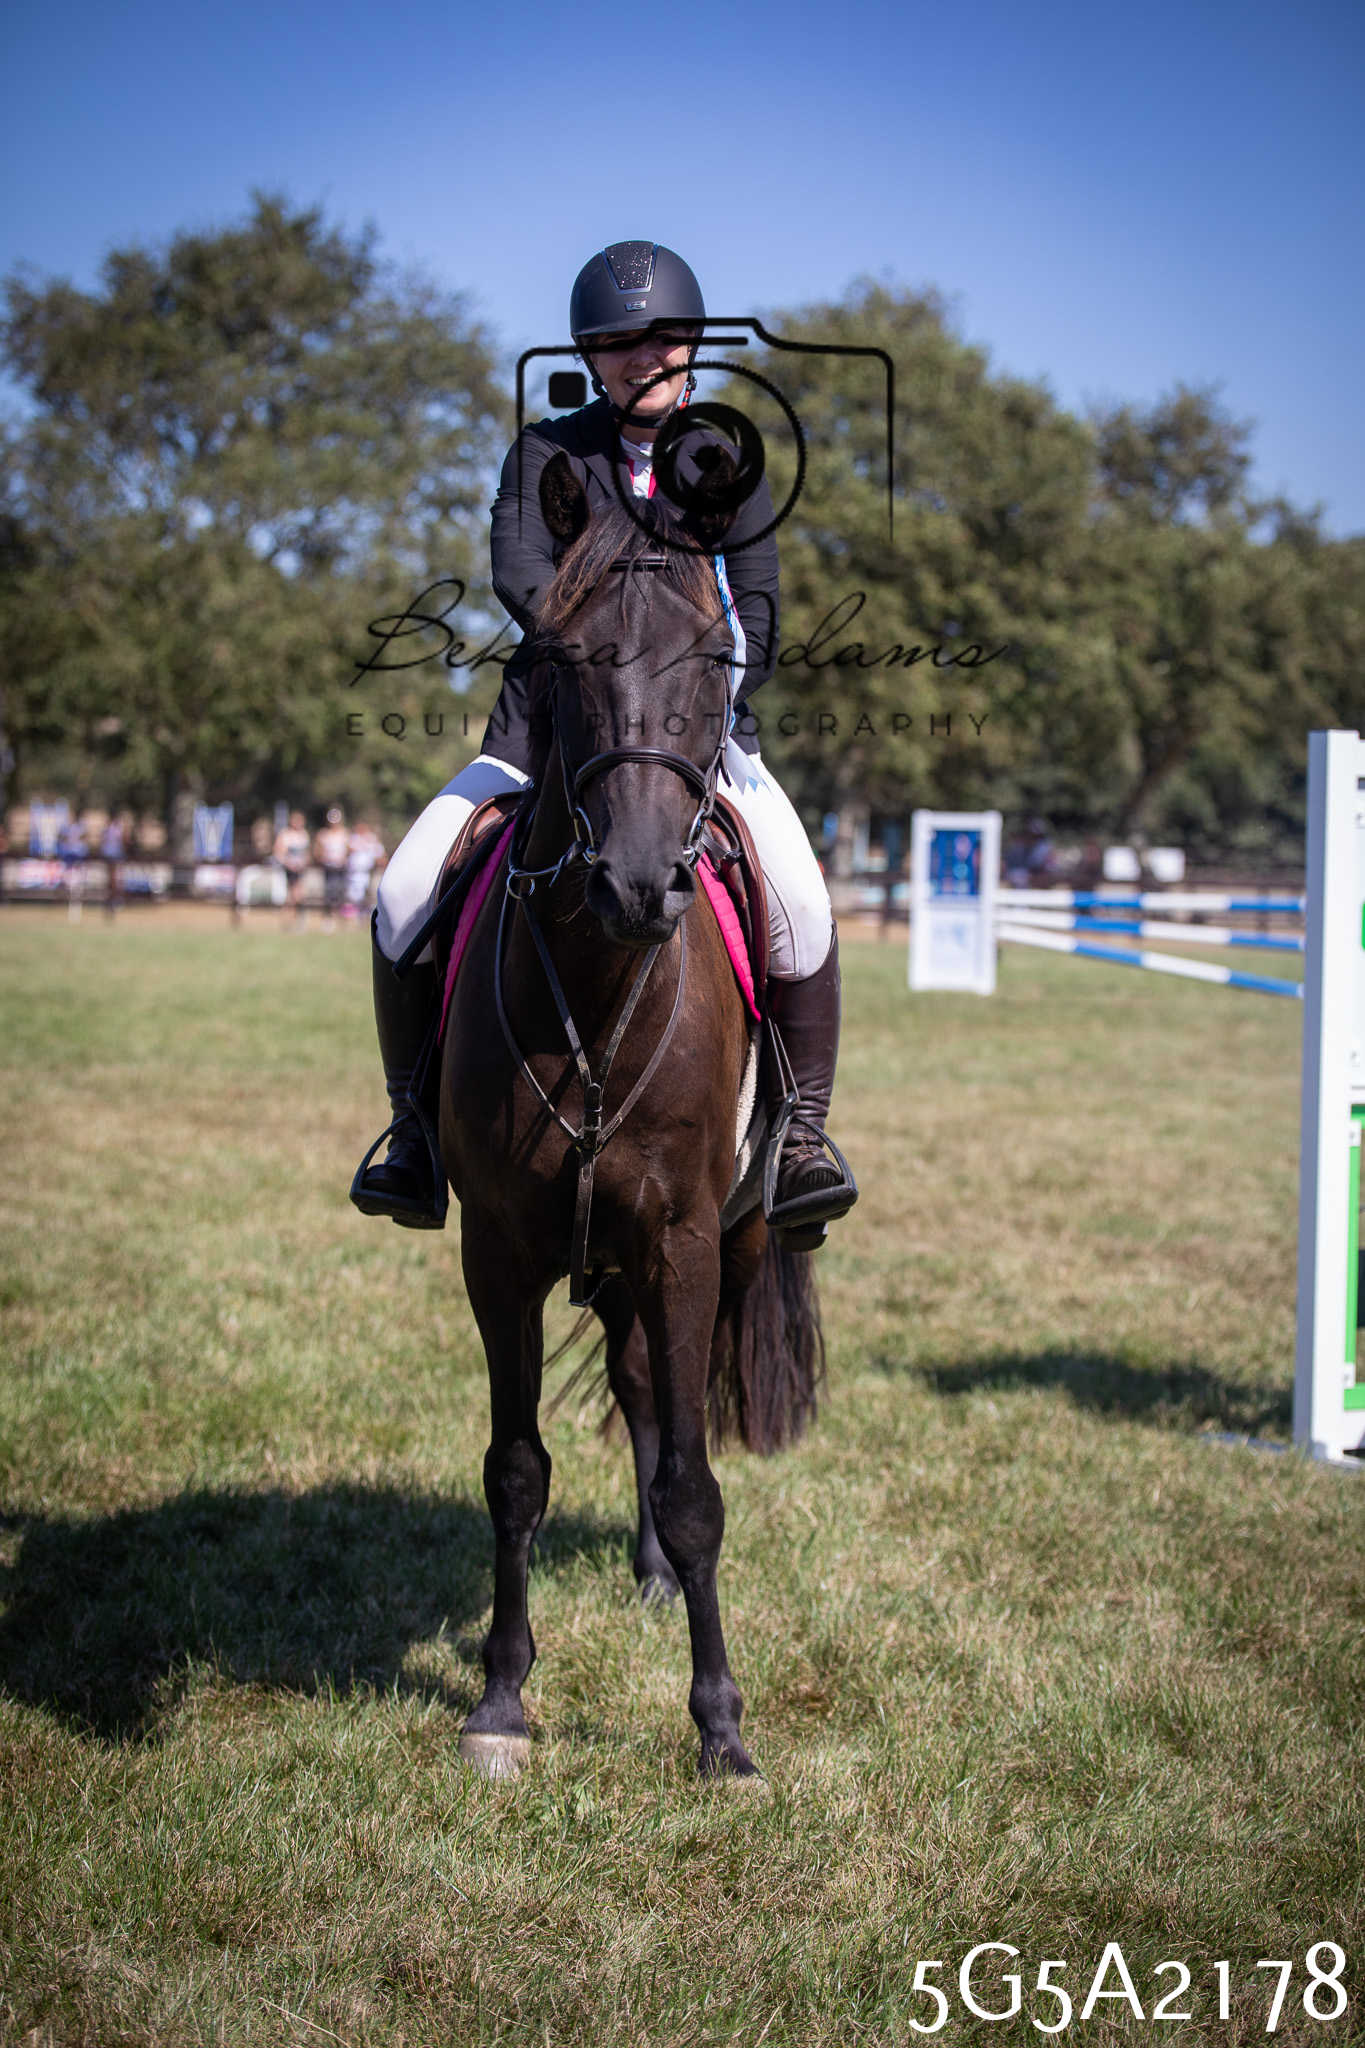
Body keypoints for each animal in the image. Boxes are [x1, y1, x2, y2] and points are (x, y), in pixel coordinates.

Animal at [439, 450, 822, 1781]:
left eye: (716, 659)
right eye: (561, 656)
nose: (639, 884)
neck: (601, 981)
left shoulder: (686, 1236)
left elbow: (701, 1488)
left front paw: (721, 1727)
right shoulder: (499, 1245)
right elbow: (514, 1471)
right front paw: (502, 1699)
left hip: (725, 1235)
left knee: (669, 1394)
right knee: (643, 1386)